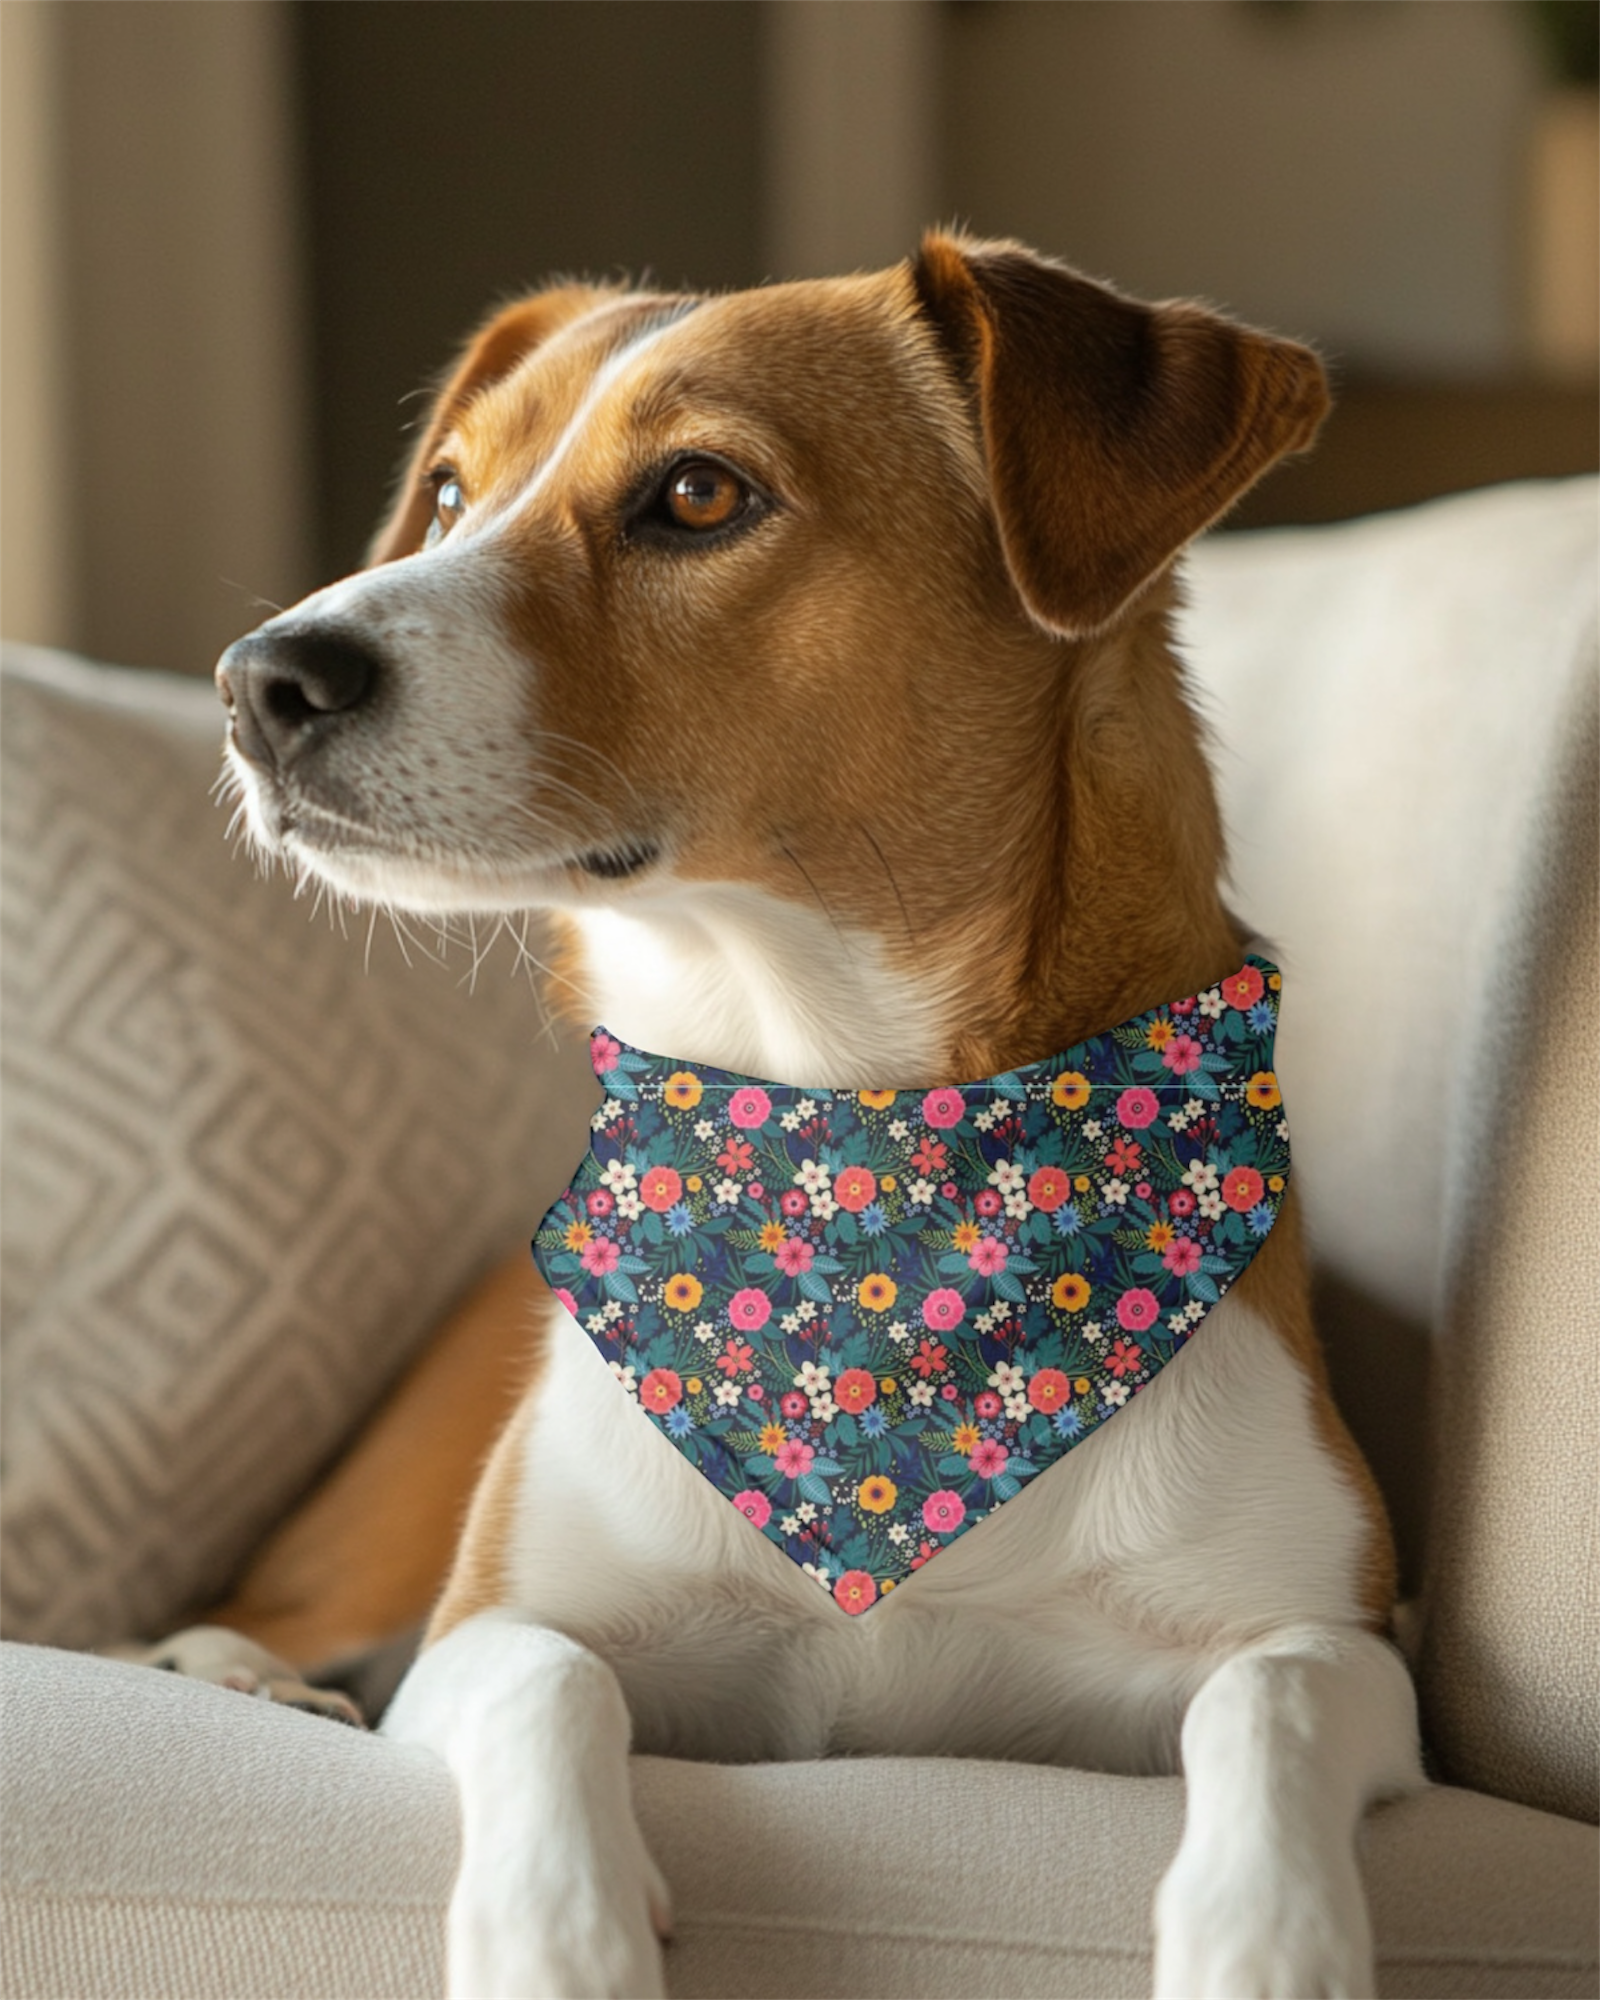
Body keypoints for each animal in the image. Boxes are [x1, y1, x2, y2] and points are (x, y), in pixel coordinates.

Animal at [215, 233, 1423, 2000]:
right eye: (445, 494)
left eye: (700, 494)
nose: (259, 681)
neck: (853, 1154)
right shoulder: (480, 1636)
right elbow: (550, 1680)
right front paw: (556, 1935)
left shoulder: (1346, 1644)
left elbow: (1273, 1696)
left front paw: (1269, 1938)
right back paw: (238, 1672)